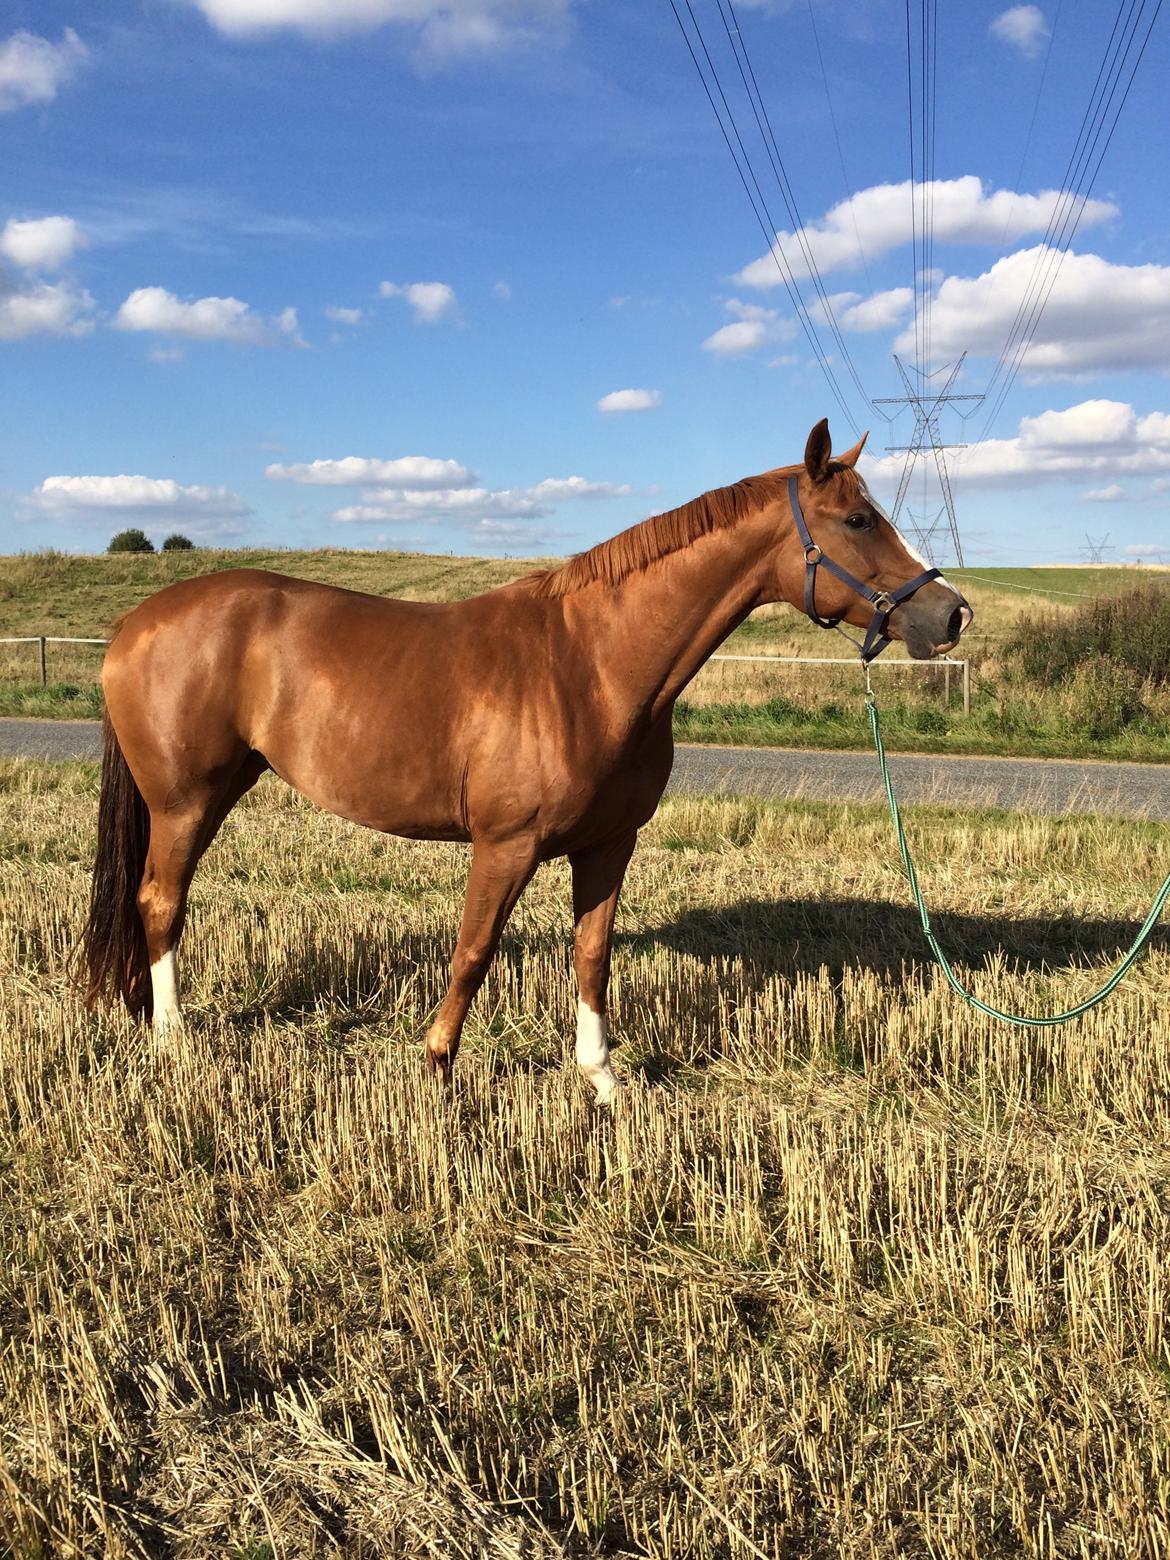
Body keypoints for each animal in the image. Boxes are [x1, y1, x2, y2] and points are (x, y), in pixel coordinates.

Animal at [80, 421, 973, 1104]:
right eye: (857, 519)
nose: (950, 613)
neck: (591, 664)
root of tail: (134, 623)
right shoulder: (505, 846)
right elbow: (473, 953)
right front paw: (438, 1070)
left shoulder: (609, 846)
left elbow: (592, 956)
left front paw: (602, 1081)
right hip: (186, 800)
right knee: (160, 901)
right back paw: (173, 1040)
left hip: (222, 786)